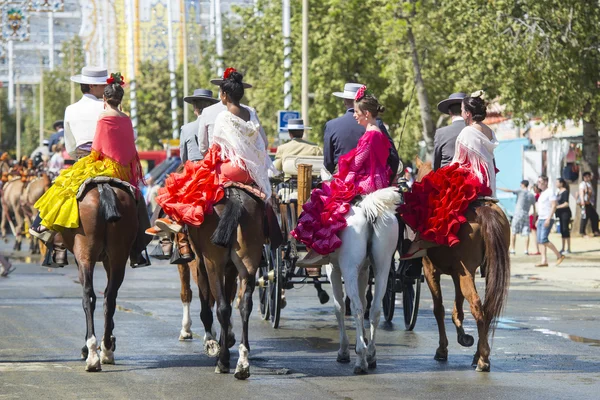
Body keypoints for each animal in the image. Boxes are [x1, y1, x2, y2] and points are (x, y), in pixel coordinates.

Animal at [58, 181, 138, 372]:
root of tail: (104, 187)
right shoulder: (110, 260)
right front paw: (110, 342)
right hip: (118, 256)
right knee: (110, 297)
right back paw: (107, 350)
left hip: (85, 254)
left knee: (88, 296)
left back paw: (92, 353)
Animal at [185, 186, 264, 380]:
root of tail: (234, 196)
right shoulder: (231, 269)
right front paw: (226, 339)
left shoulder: (201, 262)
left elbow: (208, 303)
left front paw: (212, 343)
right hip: (248, 263)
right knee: (244, 306)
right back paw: (242, 363)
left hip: (213, 263)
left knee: (221, 308)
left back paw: (223, 361)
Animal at [324, 186, 398, 374]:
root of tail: (367, 208)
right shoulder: (364, 270)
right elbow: (365, 303)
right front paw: (364, 340)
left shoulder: (333, 268)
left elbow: (339, 307)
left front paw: (344, 350)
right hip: (383, 265)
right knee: (375, 309)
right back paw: (370, 354)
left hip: (349, 267)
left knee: (356, 308)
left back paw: (360, 359)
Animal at [412, 159, 510, 372]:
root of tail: (483, 209)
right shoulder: (459, 273)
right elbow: (457, 307)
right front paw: (463, 336)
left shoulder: (431, 270)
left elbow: (439, 309)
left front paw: (443, 348)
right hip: (485, 271)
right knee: (487, 308)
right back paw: (479, 354)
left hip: (464, 273)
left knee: (476, 305)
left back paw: (483, 359)